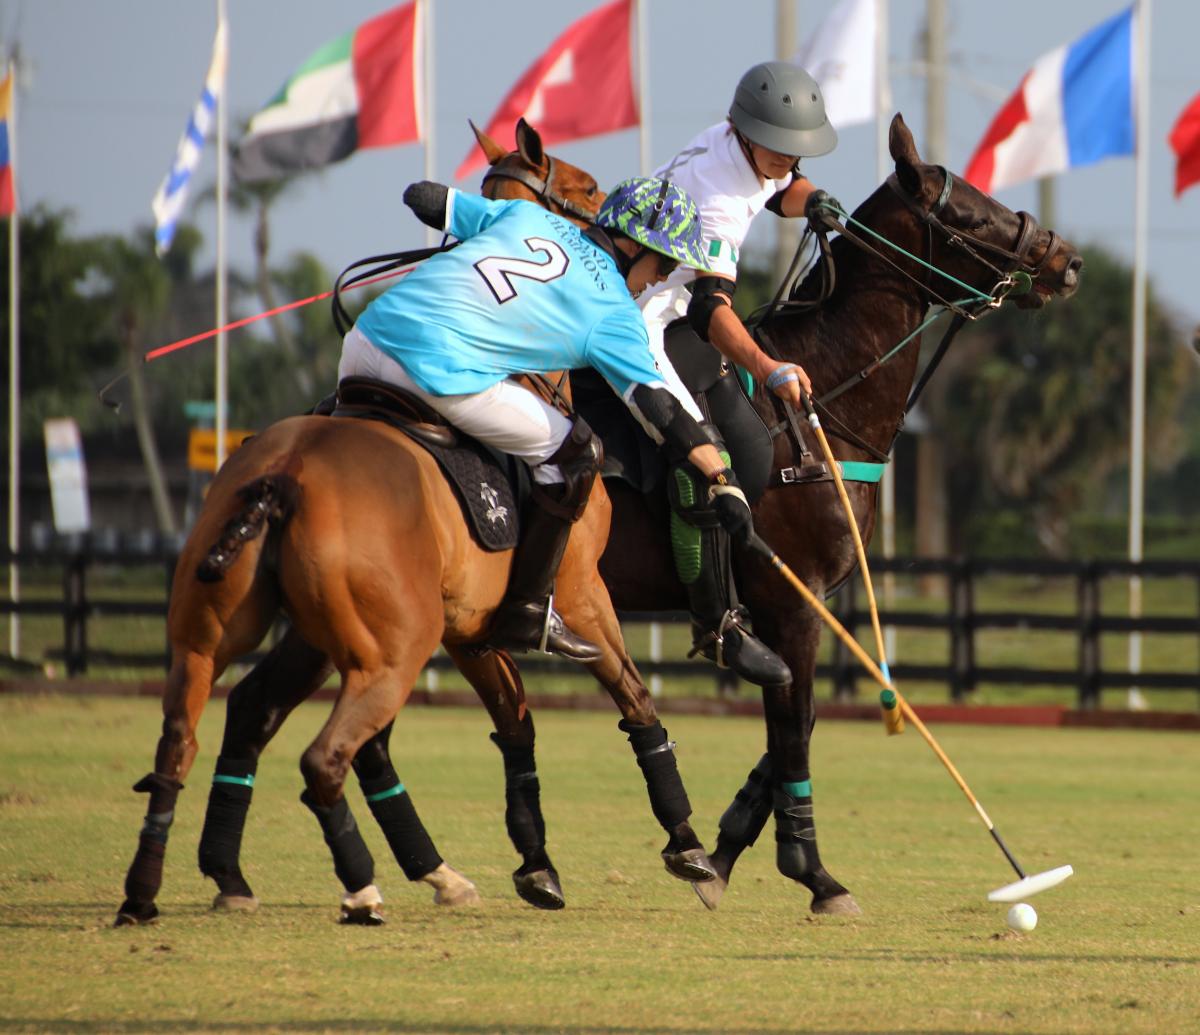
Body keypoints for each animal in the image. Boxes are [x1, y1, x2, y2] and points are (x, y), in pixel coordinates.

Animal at [113, 127, 713, 927]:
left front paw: (537, 865)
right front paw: (688, 848)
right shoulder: (581, 592)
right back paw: (367, 885)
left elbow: (515, 722)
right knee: (327, 755)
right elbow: (632, 697)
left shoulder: (469, 628)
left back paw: (173, 885)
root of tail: (283, 478)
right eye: (588, 188)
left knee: (199, 730)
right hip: (390, 649)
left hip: (228, 631)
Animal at [178, 113, 1082, 923]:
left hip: (354, 616)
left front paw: (723, 850)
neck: (823, 404)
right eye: (968, 211)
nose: (1067, 261)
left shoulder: (803, 605)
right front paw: (812, 872)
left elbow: (792, 723)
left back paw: (262, 870)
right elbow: (792, 726)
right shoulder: (788, 600)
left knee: (281, 713)